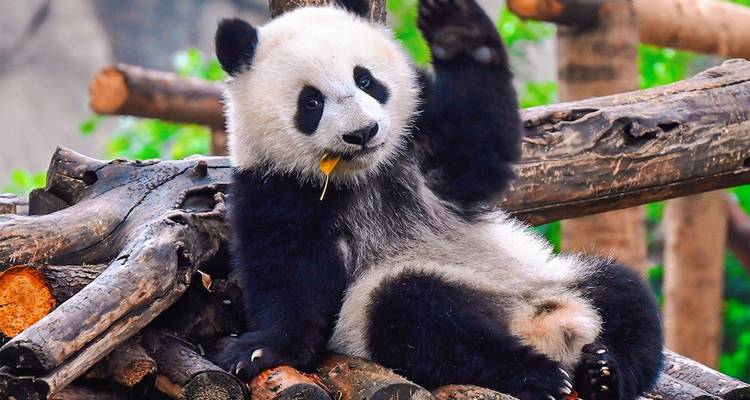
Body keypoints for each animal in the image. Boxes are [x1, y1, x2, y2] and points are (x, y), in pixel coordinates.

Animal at [213, 0, 664, 398]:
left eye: (365, 80)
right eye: (311, 102)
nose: (363, 132)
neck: (366, 173)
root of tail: (542, 329)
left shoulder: (425, 142)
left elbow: (480, 149)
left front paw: (454, 27)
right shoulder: (278, 187)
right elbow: (287, 271)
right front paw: (260, 350)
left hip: (546, 276)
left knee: (623, 295)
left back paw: (604, 373)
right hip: (381, 310)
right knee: (417, 317)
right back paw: (538, 374)